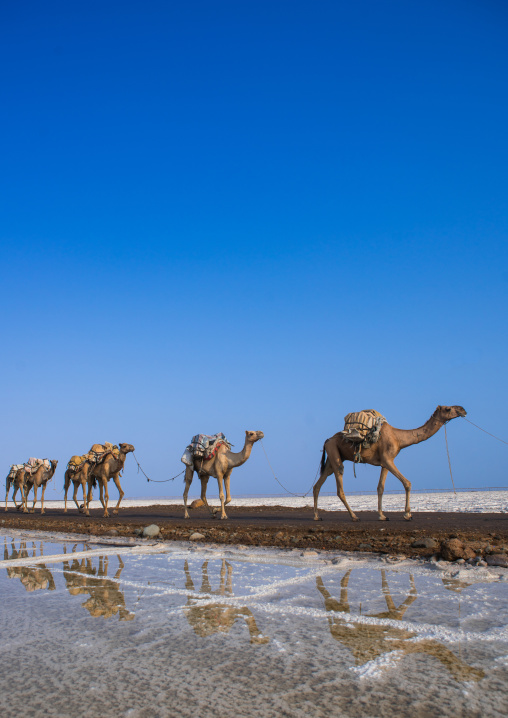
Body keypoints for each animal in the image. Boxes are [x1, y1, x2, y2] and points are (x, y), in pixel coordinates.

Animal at [313, 405, 467, 522]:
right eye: (448, 408)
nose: (463, 410)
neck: (398, 438)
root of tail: (327, 440)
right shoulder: (388, 459)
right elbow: (407, 483)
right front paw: (407, 514)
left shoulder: (384, 463)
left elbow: (380, 488)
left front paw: (382, 516)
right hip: (335, 455)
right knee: (339, 485)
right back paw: (354, 516)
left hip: (331, 459)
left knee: (318, 485)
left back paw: (316, 516)